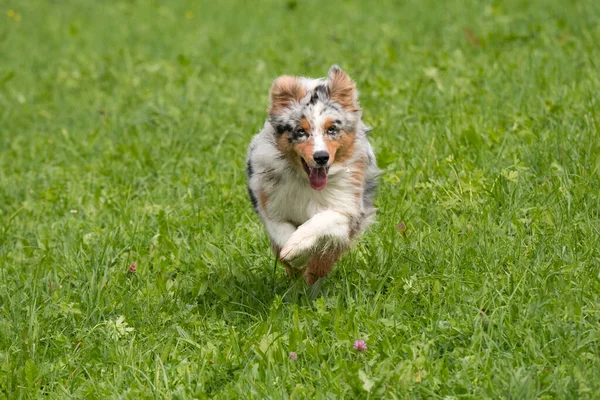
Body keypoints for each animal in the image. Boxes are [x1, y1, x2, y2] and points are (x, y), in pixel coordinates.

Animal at [245, 65, 378, 284]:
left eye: (332, 129)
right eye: (300, 131)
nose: (321, 157)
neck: (307, 183)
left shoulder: (349, 209)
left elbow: (322, 220)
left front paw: (299, 248)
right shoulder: (269, 206)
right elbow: (281, 233)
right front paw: (293, 254)